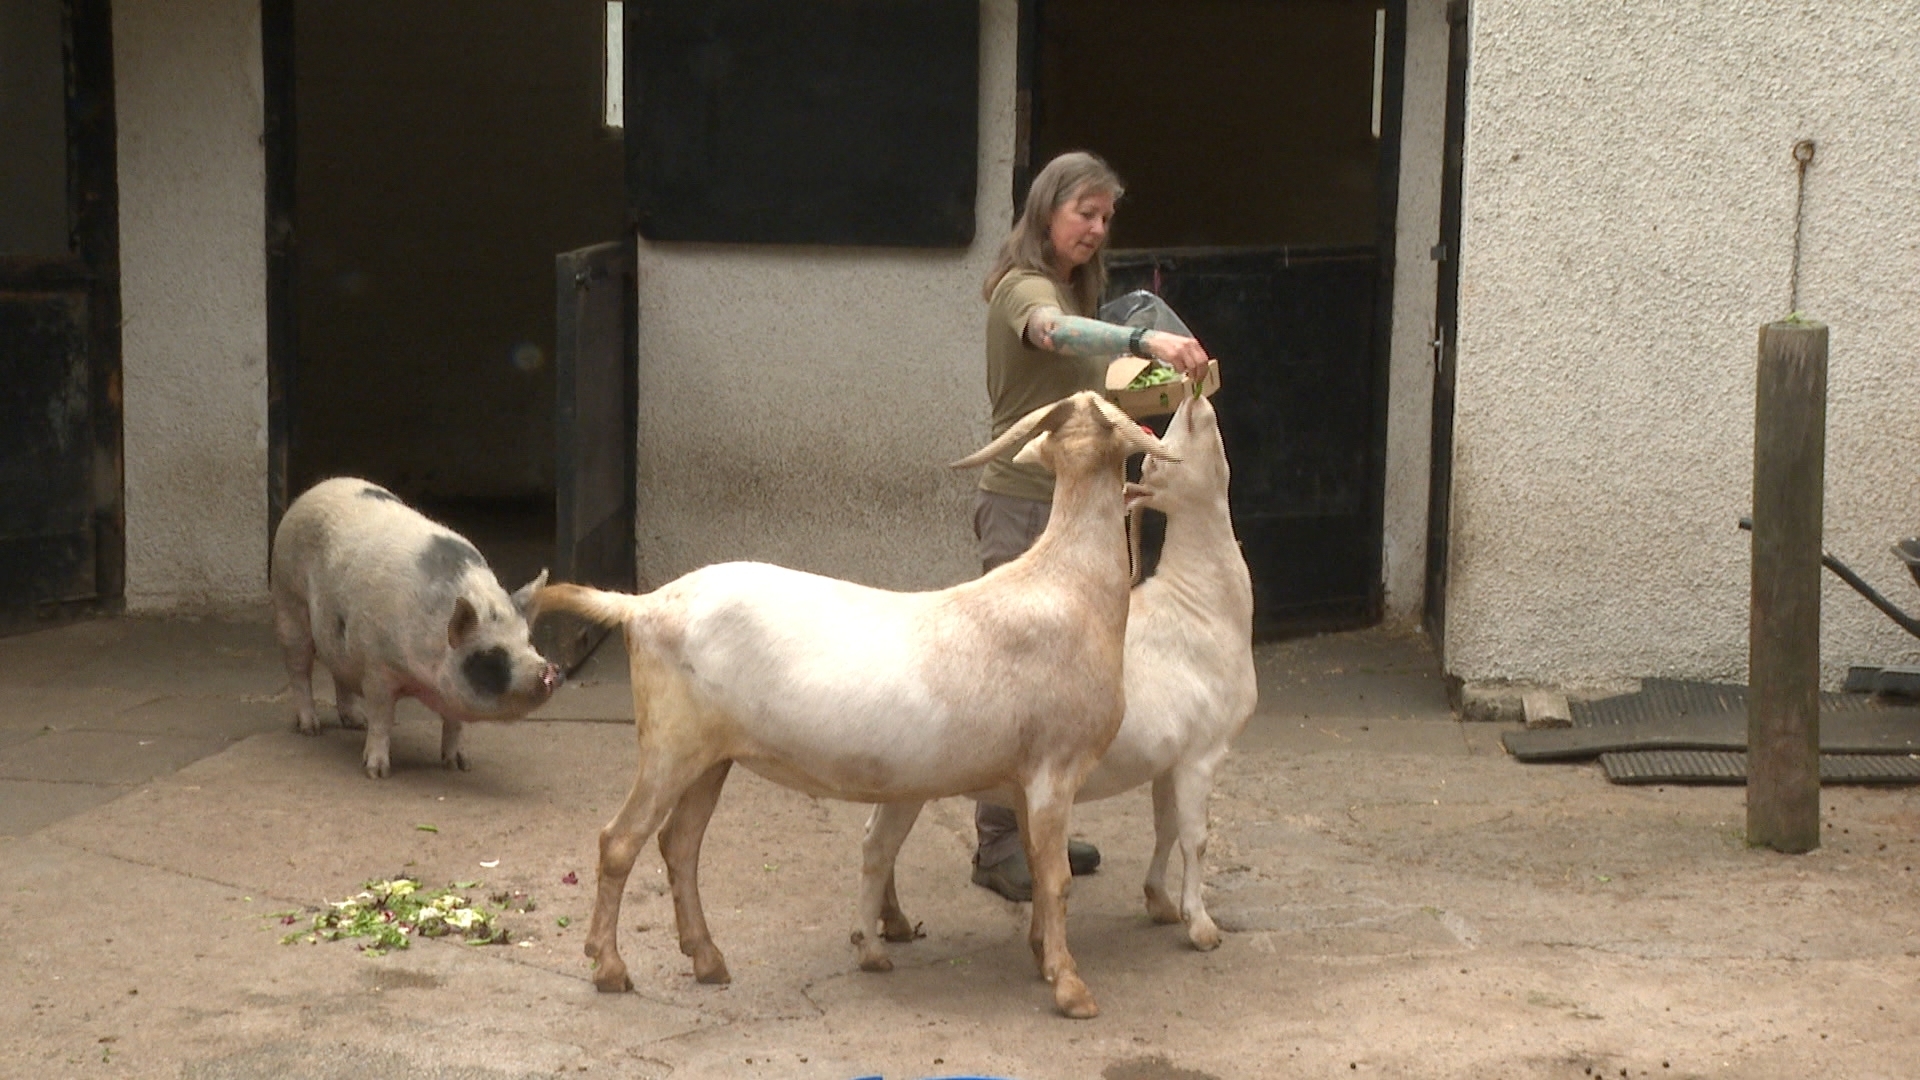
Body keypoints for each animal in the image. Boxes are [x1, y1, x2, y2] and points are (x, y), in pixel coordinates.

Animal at [533, 390, 1175, 1014]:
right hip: (670, 744)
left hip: (711, 756)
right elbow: (1058, 879)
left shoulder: (1022, 778)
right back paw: (609, 967)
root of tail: (642, 606)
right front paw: (1071, 987)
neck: (1070, 586)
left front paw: (1042, 951)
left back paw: (708, 959)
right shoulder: (1054, 768)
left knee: (680, 844)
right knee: (620, 841)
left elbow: (1043, 878)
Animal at [867, 384, 1259, 949]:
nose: (1192, 397)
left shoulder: (1170, 758)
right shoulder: (1202, 752)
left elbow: (1164, 830)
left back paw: (893, 921)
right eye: (1155, 456)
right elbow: (1196, 839)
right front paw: (1201, 926)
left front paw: (1159, 903)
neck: (1199, 604)